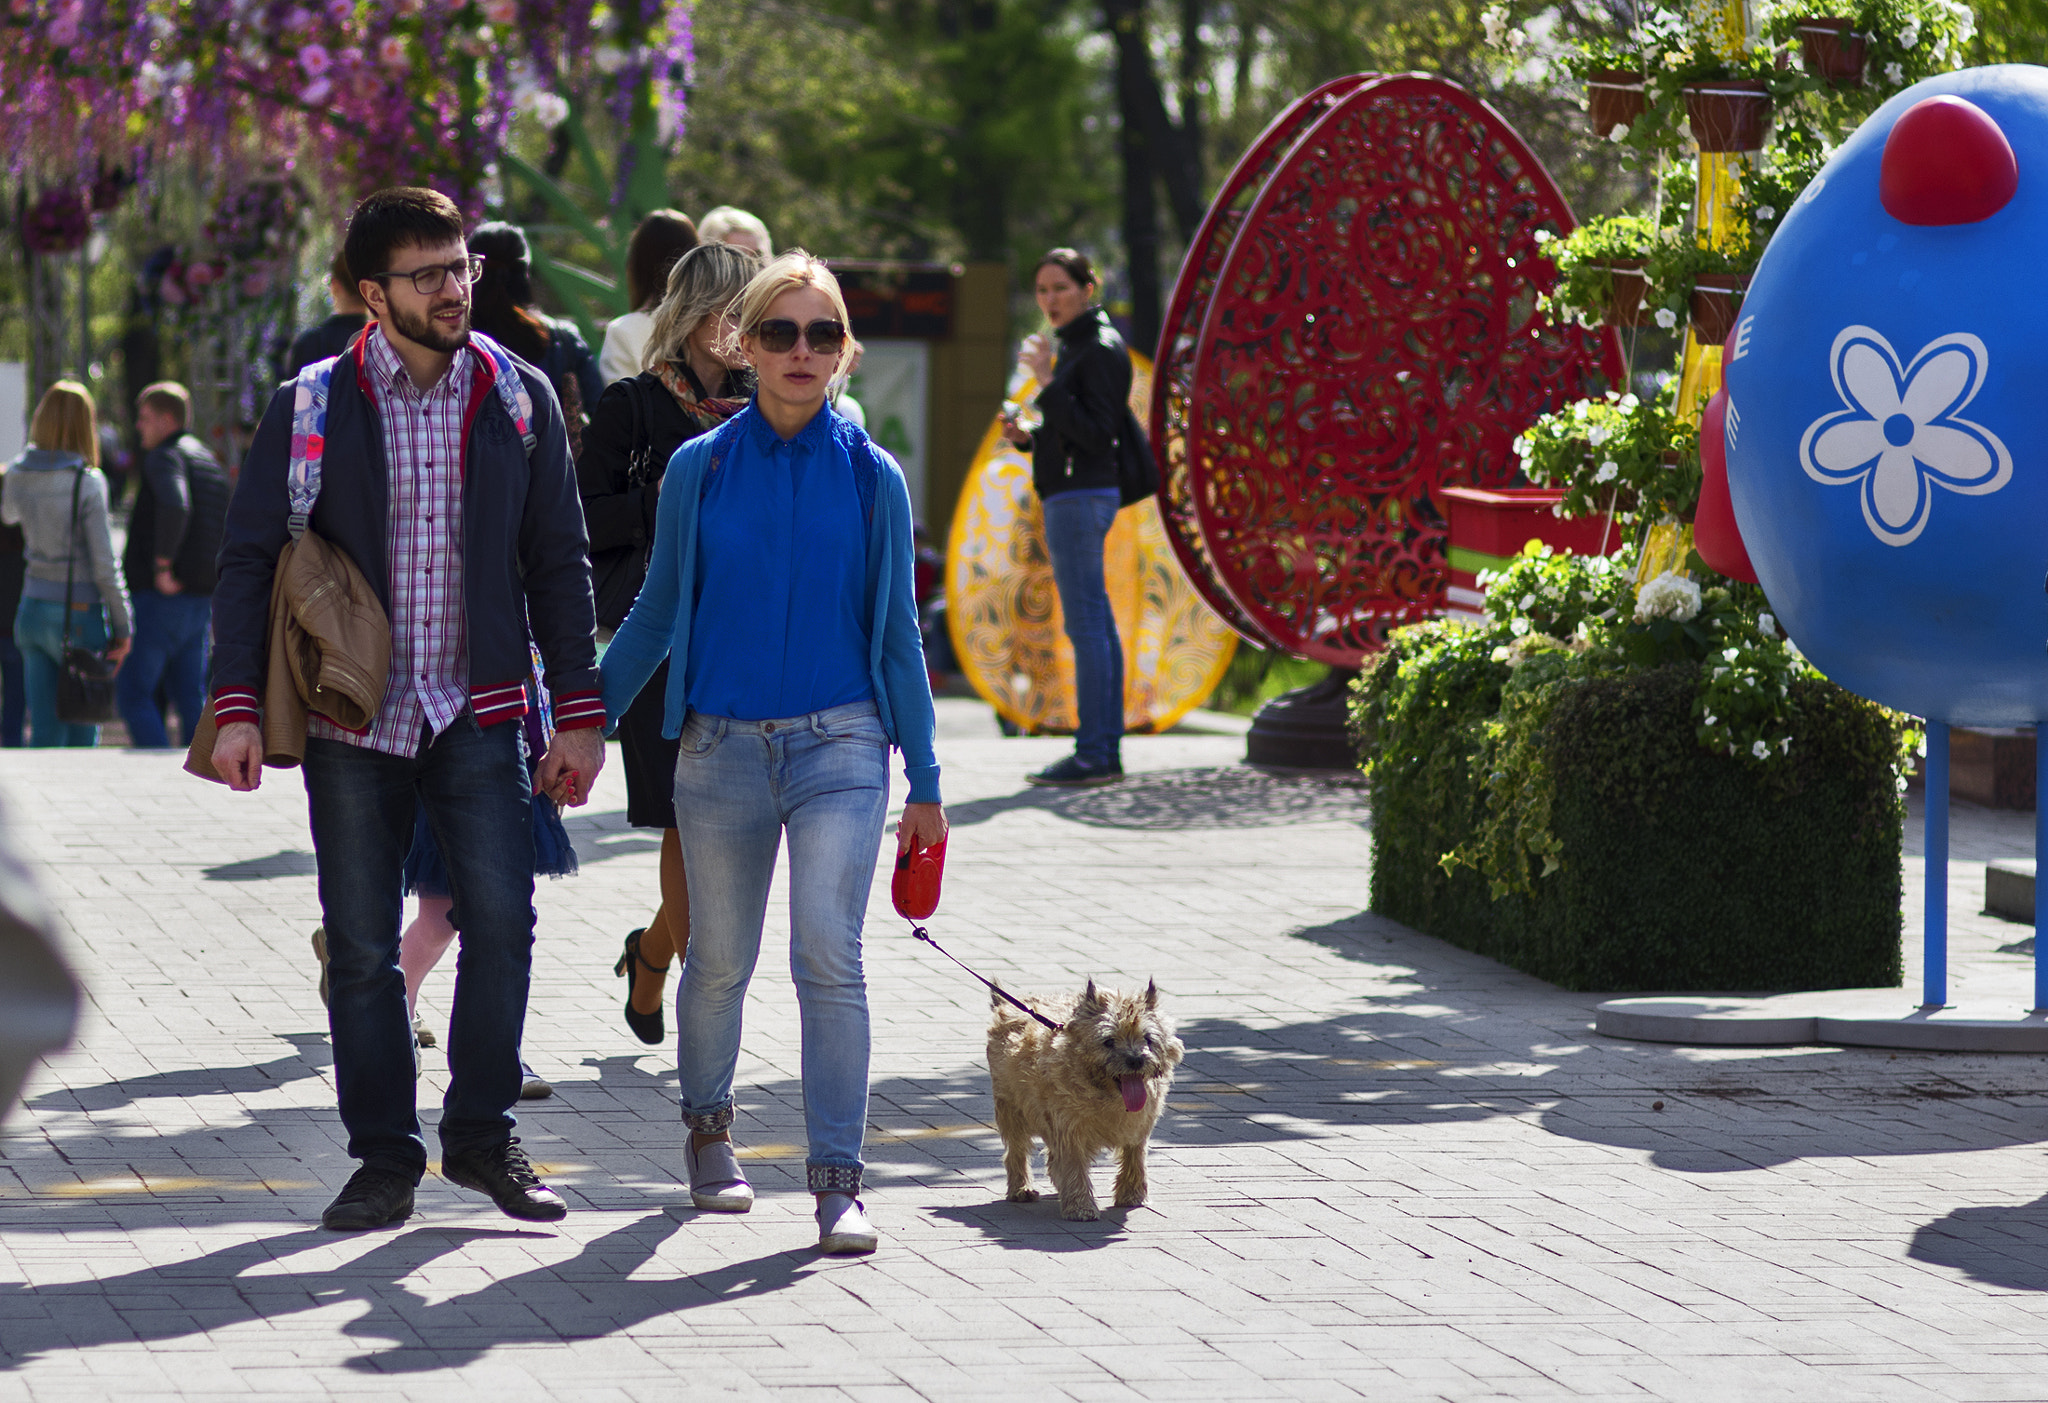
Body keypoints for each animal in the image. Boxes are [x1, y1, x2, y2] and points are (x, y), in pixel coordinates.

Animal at [987, 974, 1187, 1212]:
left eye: (1148, 1039)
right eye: (1108, 1041)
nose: (1136, 1060)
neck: (1108, 1095)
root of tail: (1005, 1005)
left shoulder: (1139, 1126)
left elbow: (1134, 1156)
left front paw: (1132, 1195)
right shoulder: (1069, 1129)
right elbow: (1074, 1166)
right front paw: (1081, 1207)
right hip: (1011, 1110)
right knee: (1017, 1150)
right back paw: (1021, 1189)